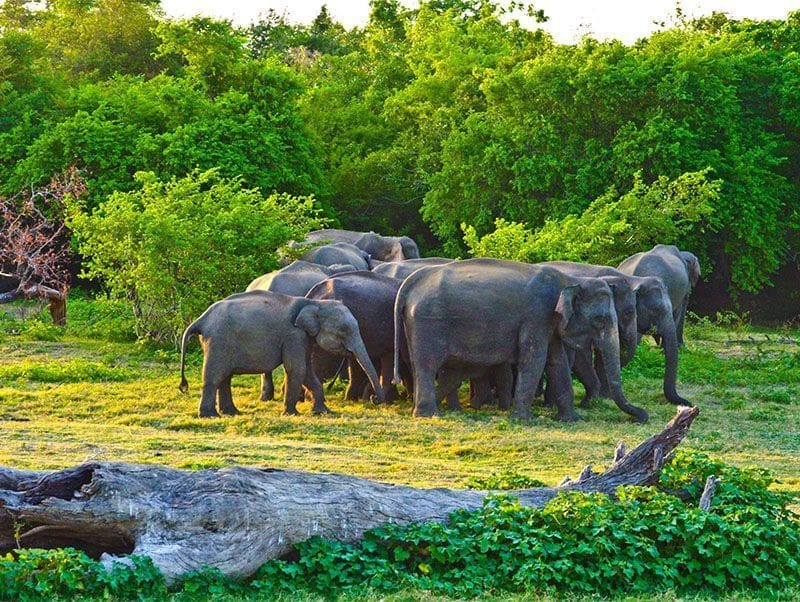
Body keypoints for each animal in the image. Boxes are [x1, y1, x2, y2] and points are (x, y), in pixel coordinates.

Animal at [178, 291, 384, 417]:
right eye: (344, 330)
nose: (374, 399)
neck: (314, 303)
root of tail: (201, 319)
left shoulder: (304, 338)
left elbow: (307, 370)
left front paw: (322, 412)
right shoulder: (294, 335)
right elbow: (297, 369)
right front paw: (292, 414)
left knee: (224, 377)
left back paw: (231, 413)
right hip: (218, 341)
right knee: (214, 376)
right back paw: (210, 416)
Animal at [393, 259, 648, 422]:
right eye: (600, 319)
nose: (642, 416)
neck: (571, 279)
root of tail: (412, 282)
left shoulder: (549, 322)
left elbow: (557, 363)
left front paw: (570, 419)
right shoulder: (536, 316)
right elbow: (534, 360)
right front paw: (525, 420)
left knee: (435, 370)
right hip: (429, 322)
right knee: (428, 366)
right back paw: (430, 414)